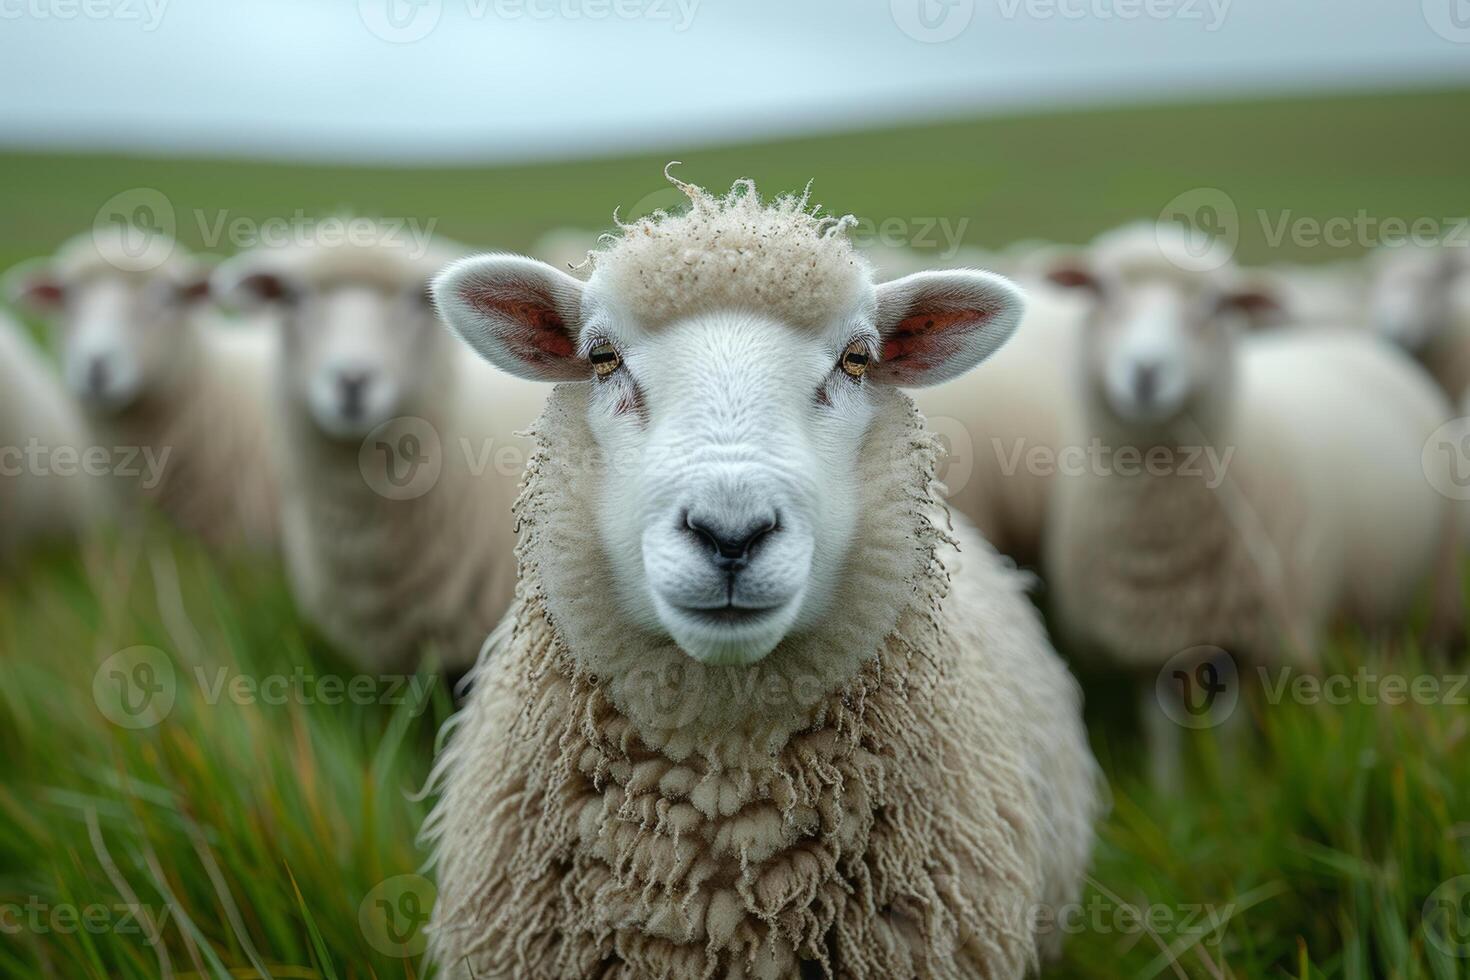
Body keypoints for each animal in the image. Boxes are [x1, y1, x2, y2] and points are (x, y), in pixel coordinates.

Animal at [1040, 224, 1464, 758]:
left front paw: (1231, 775)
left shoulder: (1250, 639)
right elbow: (1160, 732)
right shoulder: (1145, 636)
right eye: (1101, 291)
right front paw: (1170, 781)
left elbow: (1231, 735)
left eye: (1215, 307)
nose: (1146, 372)